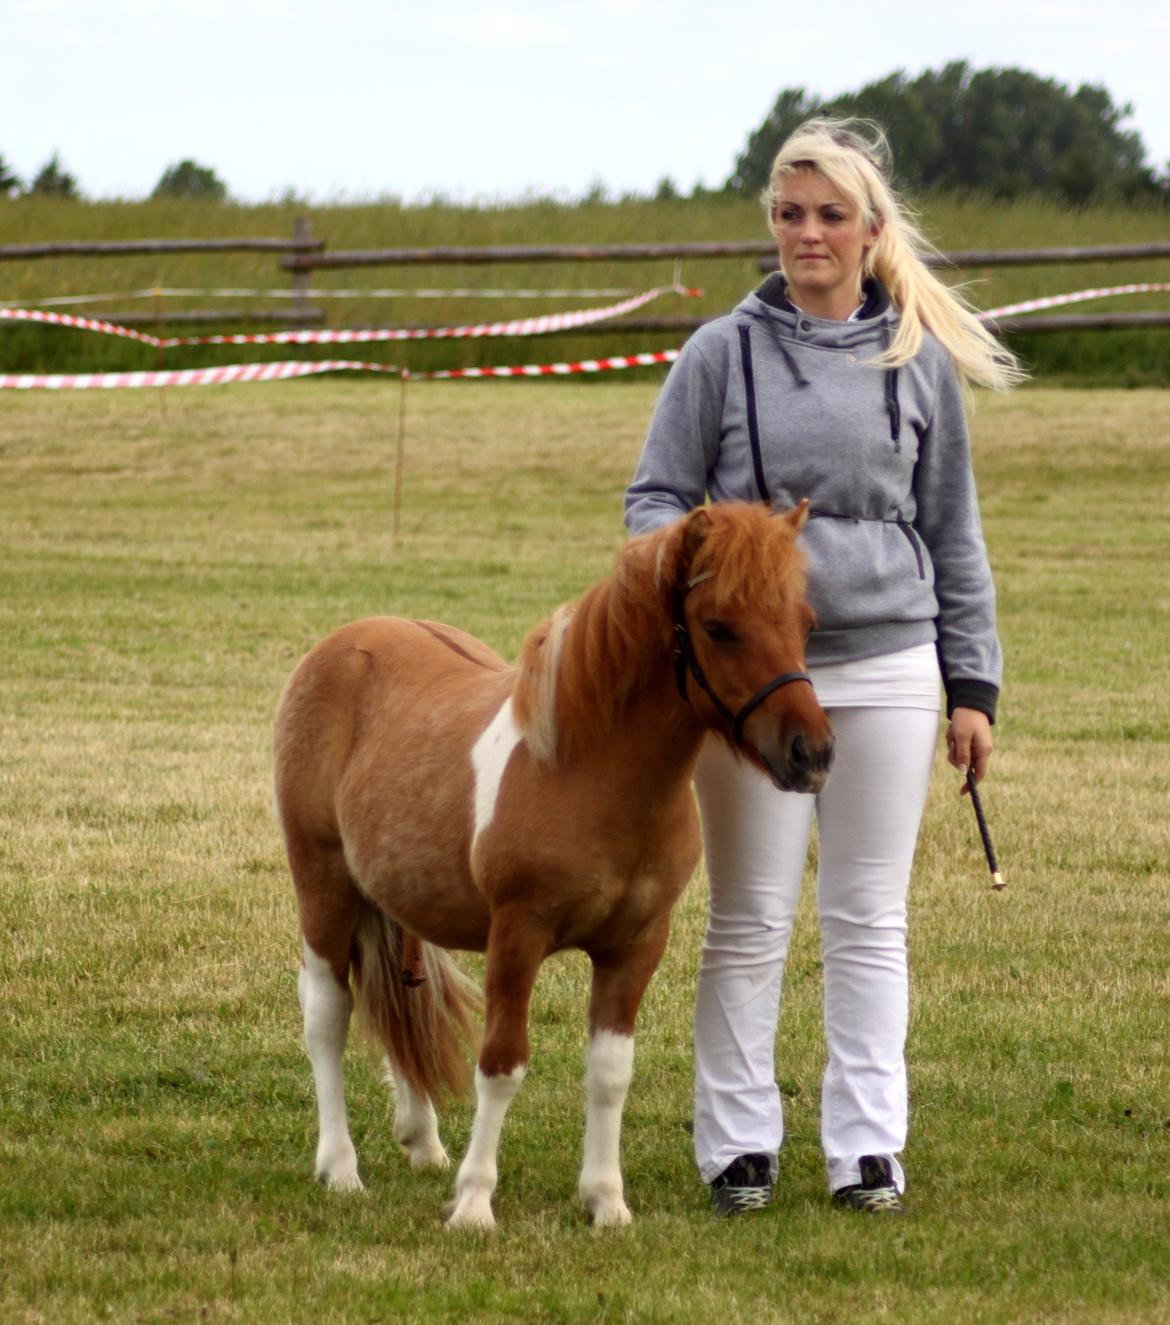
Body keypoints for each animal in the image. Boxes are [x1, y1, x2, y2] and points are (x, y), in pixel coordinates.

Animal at [272, 498, 832, 1229]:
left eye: (806, 623)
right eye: (719, 627)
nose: (811, 752)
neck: (583, 769)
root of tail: (342, 645)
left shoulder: (635, 945)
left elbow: (610, 1072)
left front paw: (606, 1201)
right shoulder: (518, 935)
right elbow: (502, 1063)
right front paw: (475, 1202)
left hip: (397, 901)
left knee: (398, 1000)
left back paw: (422, 1139)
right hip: (324, 886)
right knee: (328, 1015)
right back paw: (340, 1168)